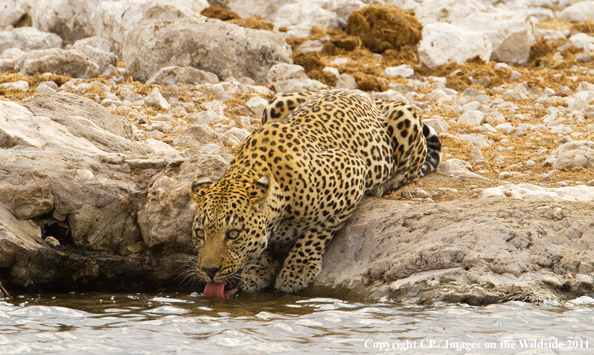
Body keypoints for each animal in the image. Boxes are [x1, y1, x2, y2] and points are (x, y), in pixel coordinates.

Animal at [190, 89, 440, 298]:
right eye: (200, 233)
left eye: (233, 234)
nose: (209, 270)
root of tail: (370, 96)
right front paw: (256, 269)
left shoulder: (353, 170)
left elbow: (318, 231)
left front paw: (297, 270)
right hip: (276, 102)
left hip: (405, 119)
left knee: (411, 167)